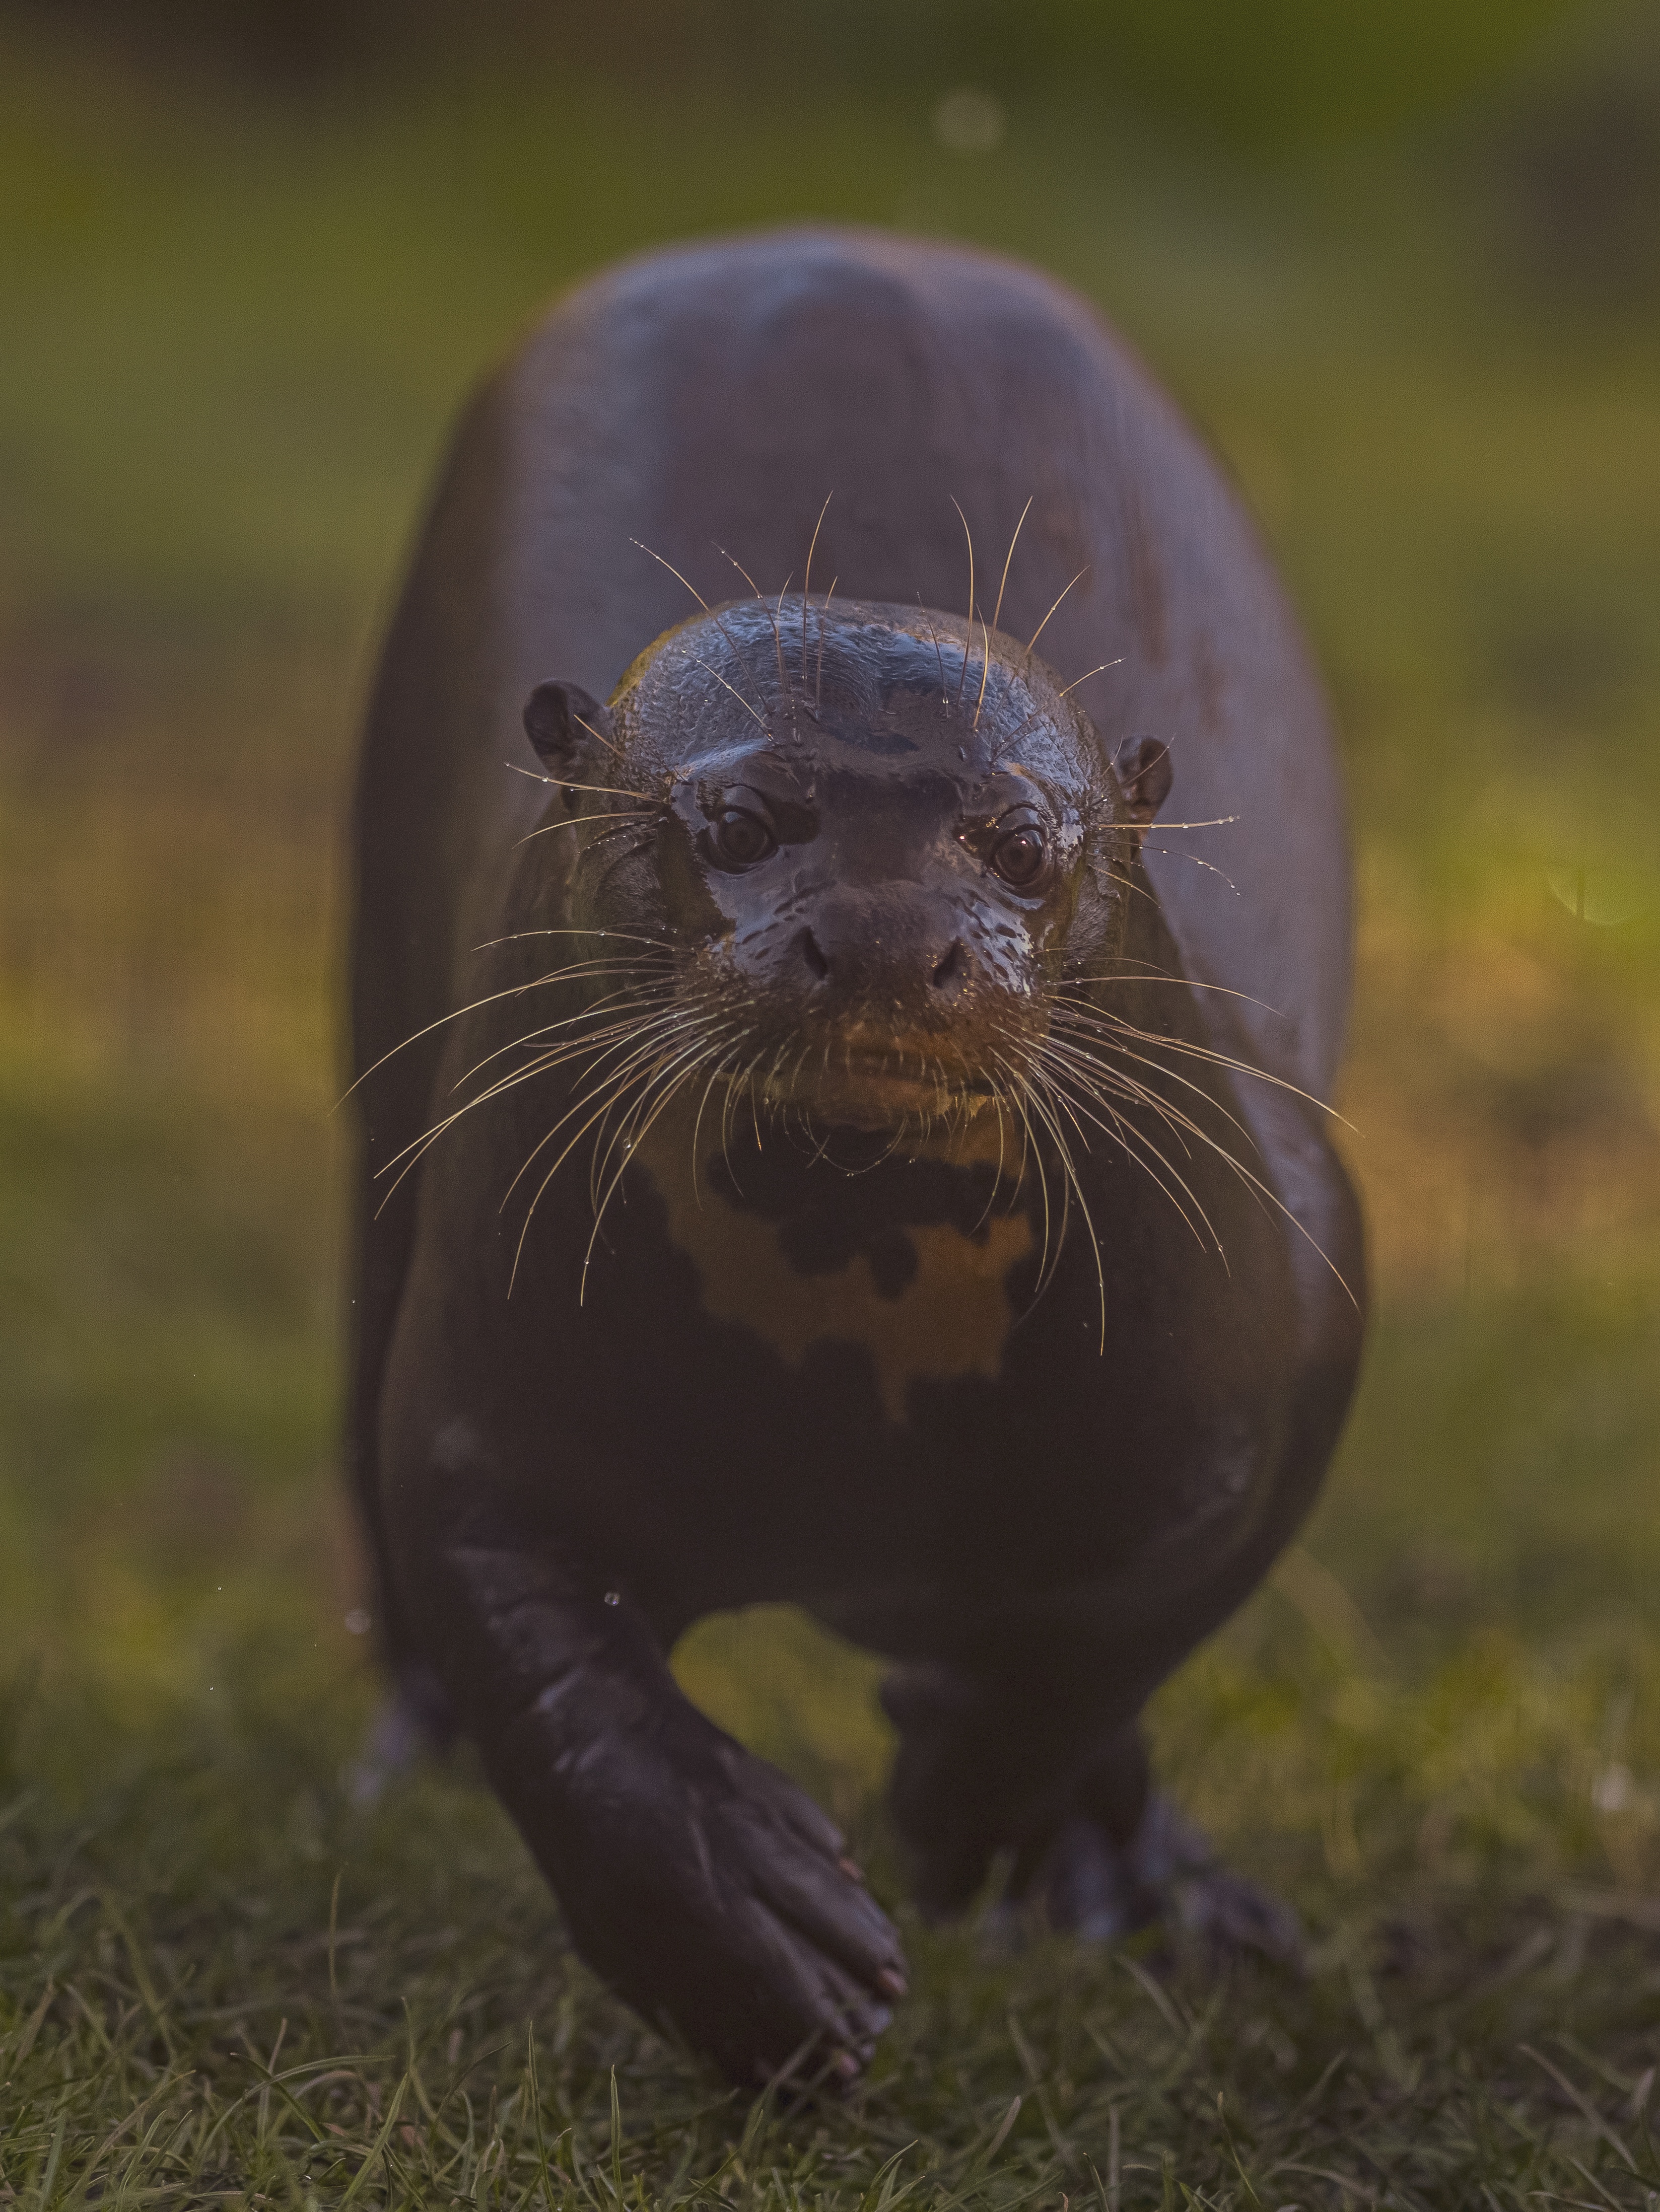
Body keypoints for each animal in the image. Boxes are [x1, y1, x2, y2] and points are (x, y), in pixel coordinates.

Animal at [348, 228, 1365, 2086]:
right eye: (738, 822)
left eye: (1025, 841)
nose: (893, 940)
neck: (859, 1385)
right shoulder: (484, 1353)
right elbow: (525, 1636)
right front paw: (752, 1929)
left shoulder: (1287, 1332)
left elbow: (1107, 1641)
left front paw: (979, 1805)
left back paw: (1150, 1884)